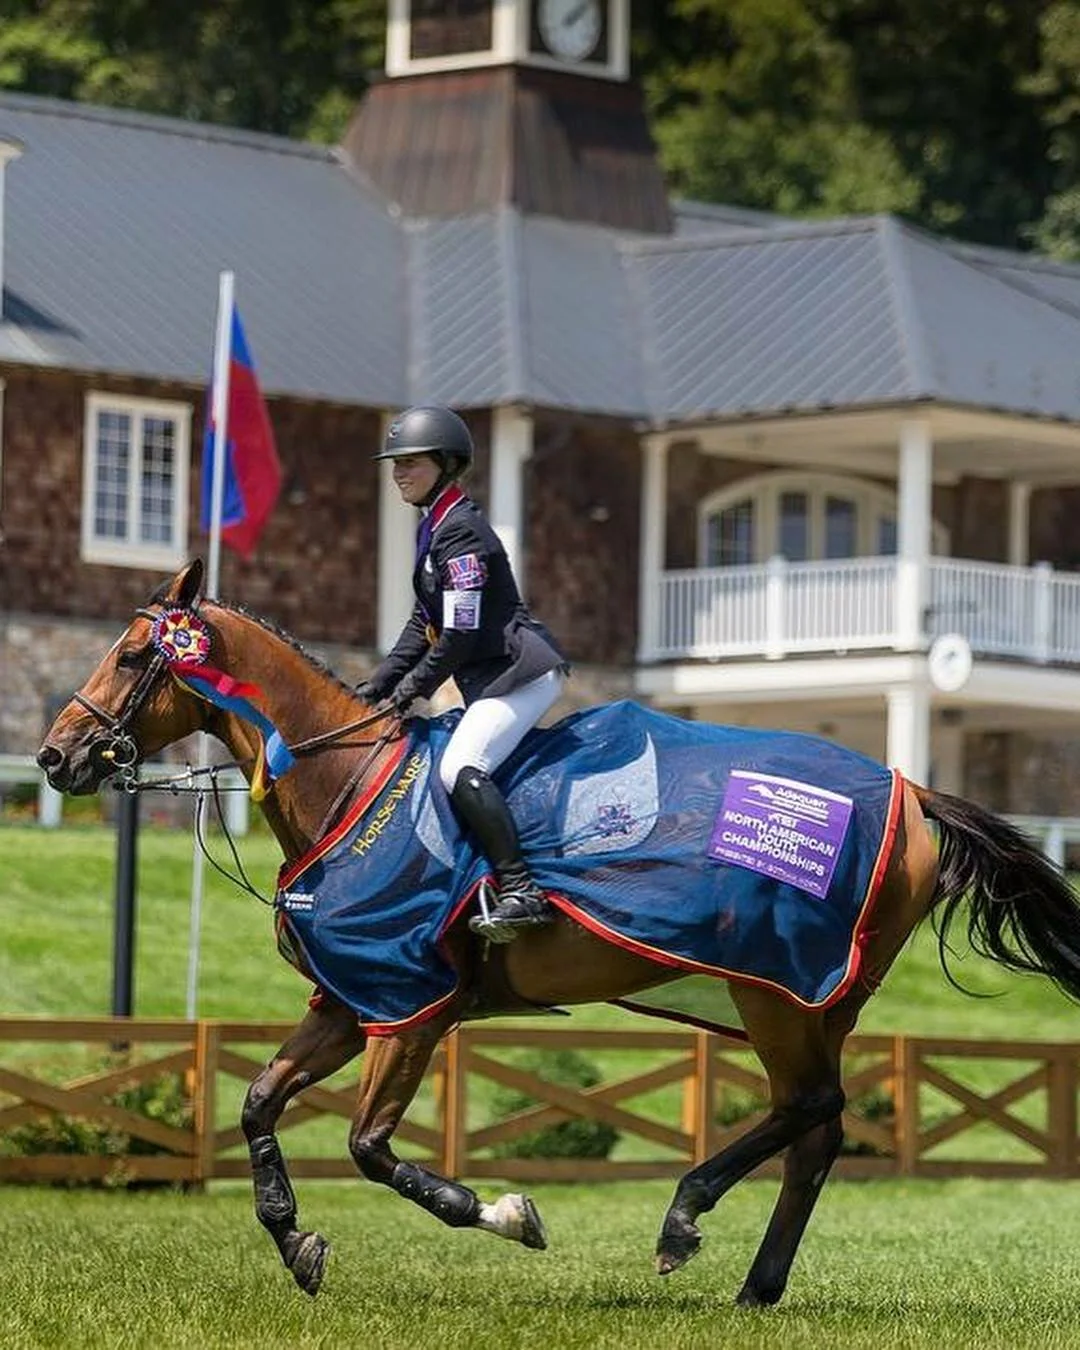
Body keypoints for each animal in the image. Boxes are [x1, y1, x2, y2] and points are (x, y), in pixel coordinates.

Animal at [36, 559, 1080, 1307]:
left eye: (130, 656)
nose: (55, 758)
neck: (346, 783)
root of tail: (912, 791)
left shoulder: (410, 1008)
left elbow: (371, 1148)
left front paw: (502, 1210)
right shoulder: (348, 1000)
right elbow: (258, 1104)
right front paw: (296, 1241)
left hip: (775, 987)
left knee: (812, 1108)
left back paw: (683, 1218)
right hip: (810, 998)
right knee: (815, 1130)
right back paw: (754, 1287)